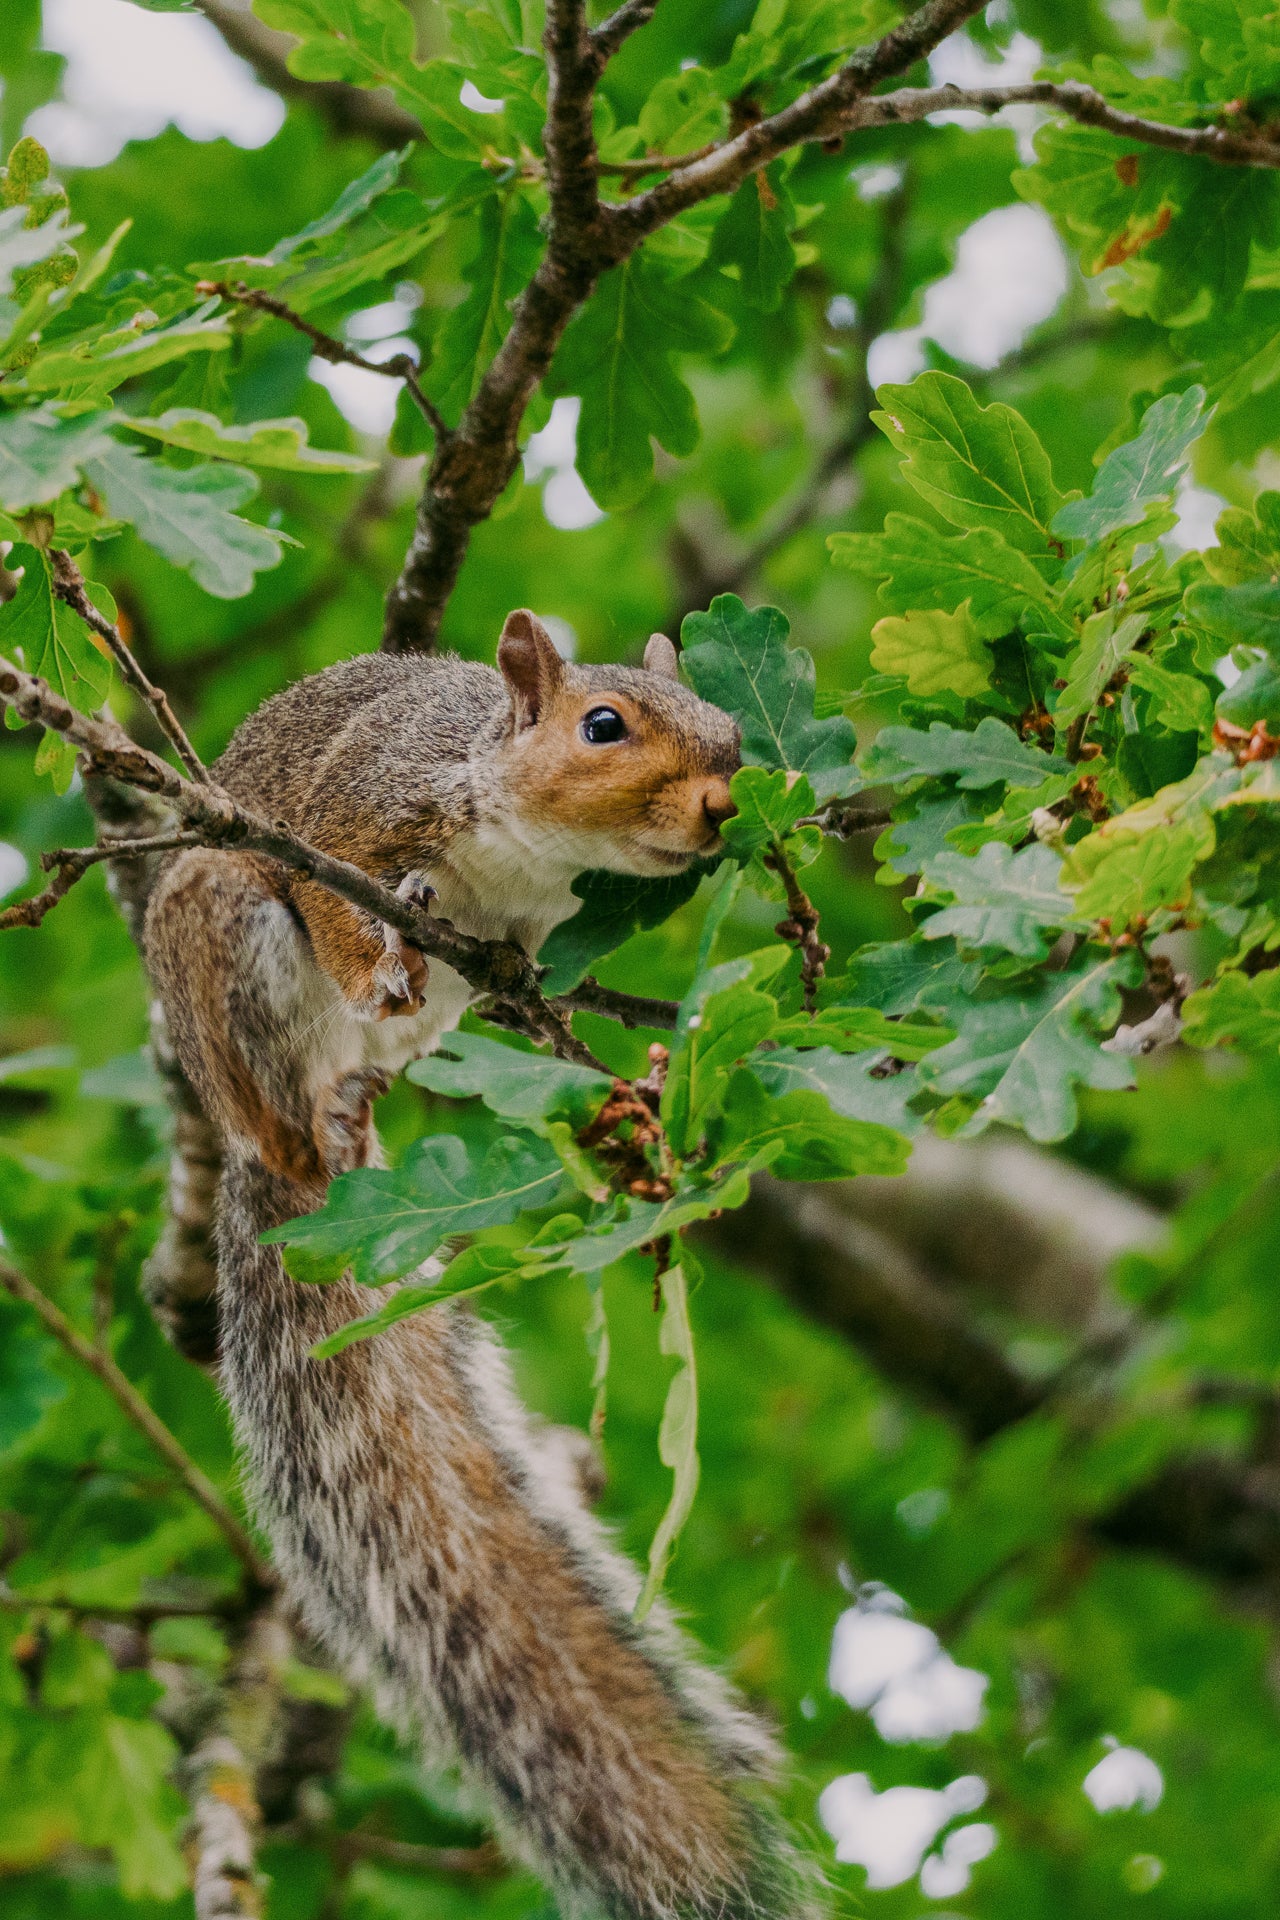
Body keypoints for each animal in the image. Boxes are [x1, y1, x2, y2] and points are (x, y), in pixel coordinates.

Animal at [144, 611, 822, 1920]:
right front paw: (377, 963)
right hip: (219, 922)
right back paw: (313, 1117)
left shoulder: (517, 936)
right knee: (276, 1074)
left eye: (727, 727)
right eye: (601, 726)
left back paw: (357, 1104)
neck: (517, 841)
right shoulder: (349, 821)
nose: (724, 806)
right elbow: (342, 908)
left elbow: (523, 980)